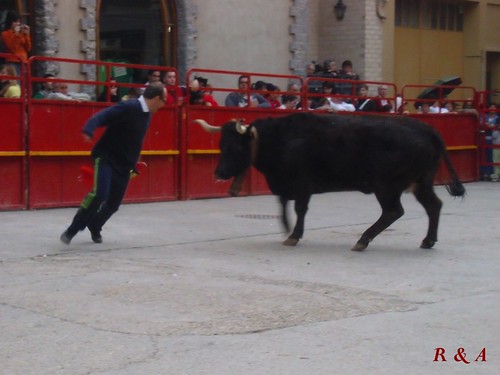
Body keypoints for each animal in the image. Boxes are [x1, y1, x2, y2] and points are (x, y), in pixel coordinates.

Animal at [194, 113, 464, 251]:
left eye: (235, 146)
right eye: (221, 145)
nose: (219, 173)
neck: (282, 138)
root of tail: (427, 129)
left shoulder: (303, 183)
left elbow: (299, 208)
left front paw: (294, 235)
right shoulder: (285, 183)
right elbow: (283, 204)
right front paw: (286, 227)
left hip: (386, 186)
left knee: (393, 211)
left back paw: (363, 240)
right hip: (421, 182)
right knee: (434, 206)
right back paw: (428, 241)